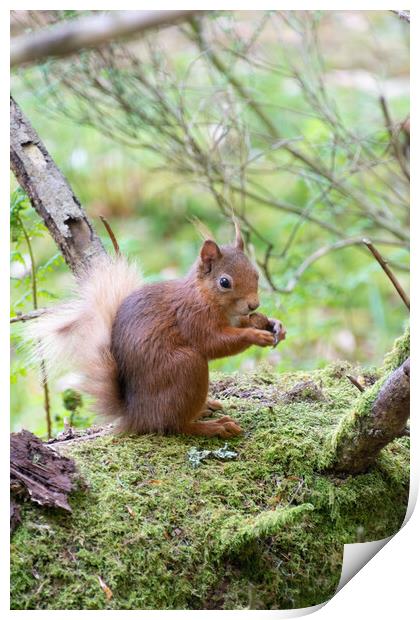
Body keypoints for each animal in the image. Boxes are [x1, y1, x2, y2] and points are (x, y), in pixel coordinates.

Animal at [28, 223, 286, 436]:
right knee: (175, 425)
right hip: (186, 366)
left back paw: (206, 407)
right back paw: (213, 426)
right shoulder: (191, 317)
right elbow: (213, 343)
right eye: (224, 282)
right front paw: (254, 335)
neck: (205, 297)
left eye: (256, 274)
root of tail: (137, 415)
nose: (254, 304)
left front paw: (272, 324)